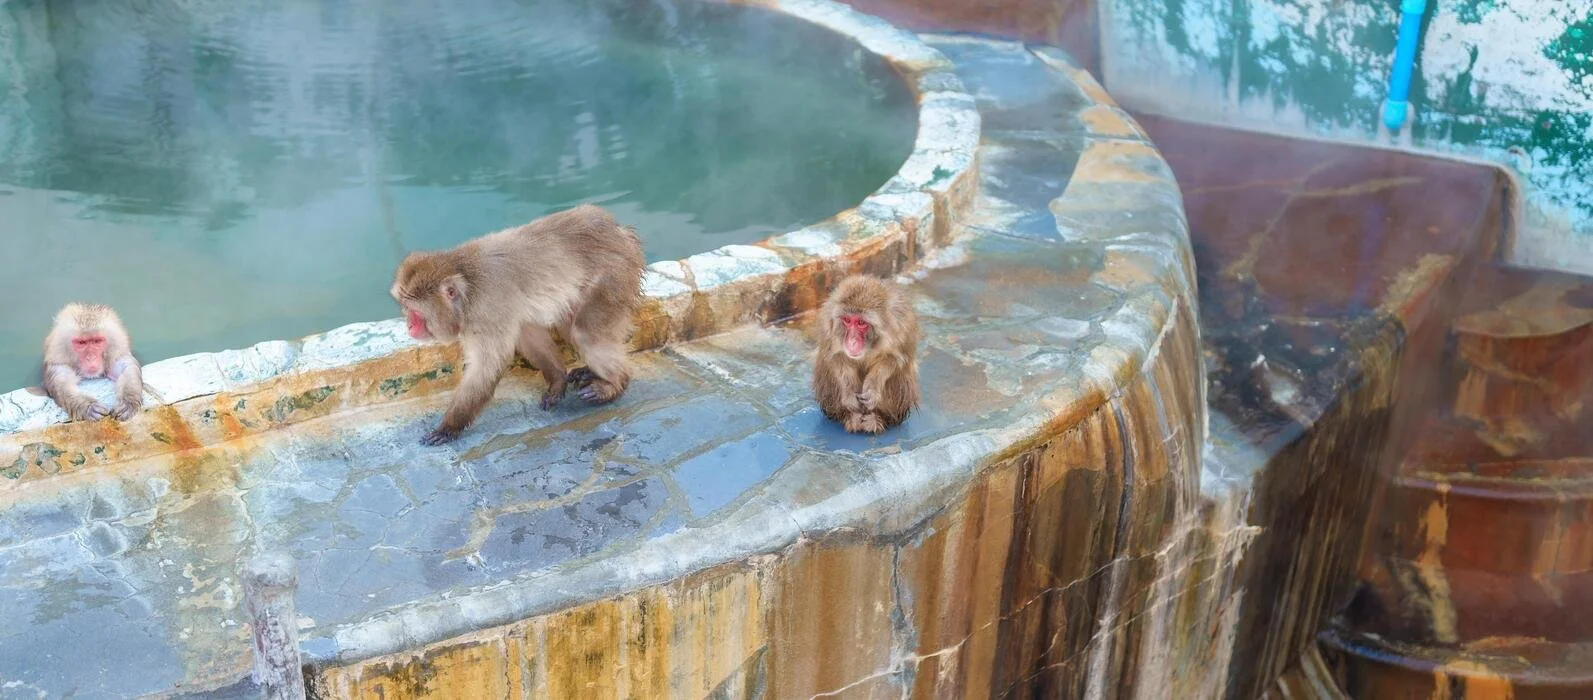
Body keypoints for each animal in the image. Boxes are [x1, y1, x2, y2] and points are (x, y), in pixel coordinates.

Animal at [392, 204, 645, 446]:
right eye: (405, 308)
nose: (409, 326)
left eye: (415, 312)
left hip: (614, 275)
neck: (467, 286)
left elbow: (486, 368)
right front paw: (557, 382)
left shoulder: (488, 311)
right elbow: (528, 333)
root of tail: (620, 231)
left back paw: (615, 384)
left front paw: (449, 427)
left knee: (585, 333)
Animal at [811, 274, 920, 434]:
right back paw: (849, 416)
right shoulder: (828, 325)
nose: (851, 341)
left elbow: (897, 359)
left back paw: (880, 418)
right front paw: (849, 392)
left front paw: (872, 387)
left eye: (861, 323)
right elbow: (833, 356)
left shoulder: (901, 325)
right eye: (847, 320)